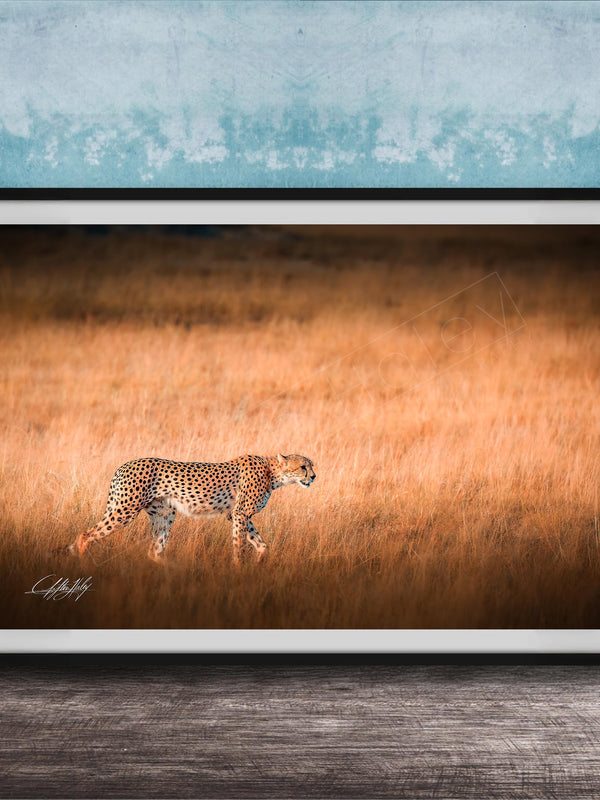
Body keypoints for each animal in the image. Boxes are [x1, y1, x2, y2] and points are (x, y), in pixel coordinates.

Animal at [69, 453, 316, 563]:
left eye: (312, 465)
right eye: (303, 467)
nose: (313, 477)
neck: (272, 473)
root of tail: (124, 465)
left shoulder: (235, 514)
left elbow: (261, 543)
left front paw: (260, 562)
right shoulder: (240, 513)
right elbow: (239, 544)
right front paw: (239, 568)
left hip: (164, 514)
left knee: (155, 550)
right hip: (124, 510)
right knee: (85, 535)